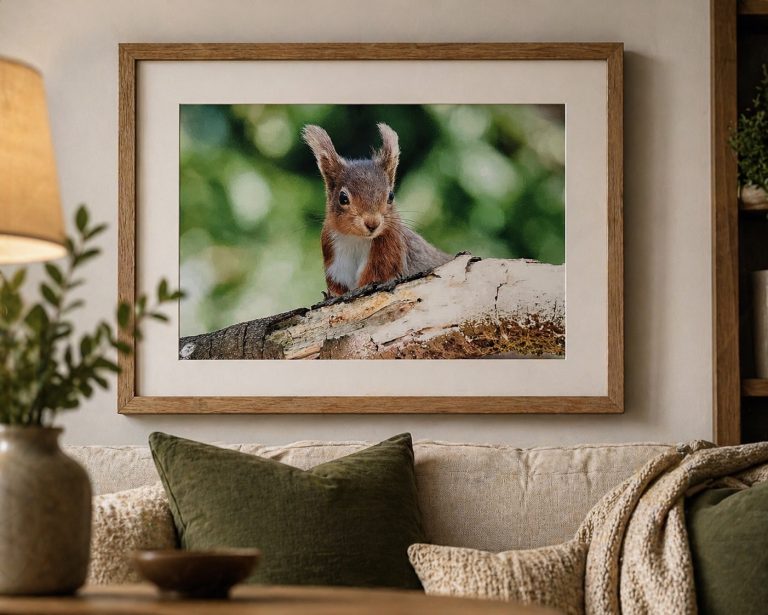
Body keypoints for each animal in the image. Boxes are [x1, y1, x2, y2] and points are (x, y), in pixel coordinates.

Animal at [303, 122, 451, 297]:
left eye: (391, 196)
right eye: (343, 198)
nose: (372, 223)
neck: (356, 239)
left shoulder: (387, 258)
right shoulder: (335, 262)